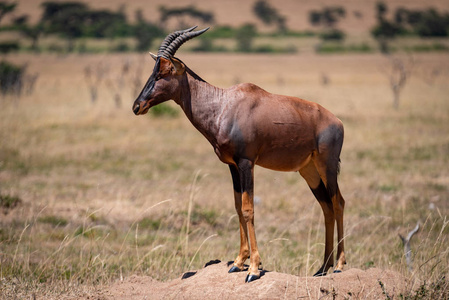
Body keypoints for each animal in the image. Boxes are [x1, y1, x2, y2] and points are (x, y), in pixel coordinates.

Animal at [132, 27, 346, 282]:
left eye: (163, 73)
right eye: (153, 71)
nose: (137, 106)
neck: (224, 105)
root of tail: (337, 121)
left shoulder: (246, 163)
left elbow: (247, 208)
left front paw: (253, 269)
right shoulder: (232, 166)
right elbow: (236, 206)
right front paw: (238, 262)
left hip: (327, 165)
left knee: (338, 203)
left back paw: (340, 265)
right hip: (309, 171)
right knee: (326, 207)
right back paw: (323, 268)